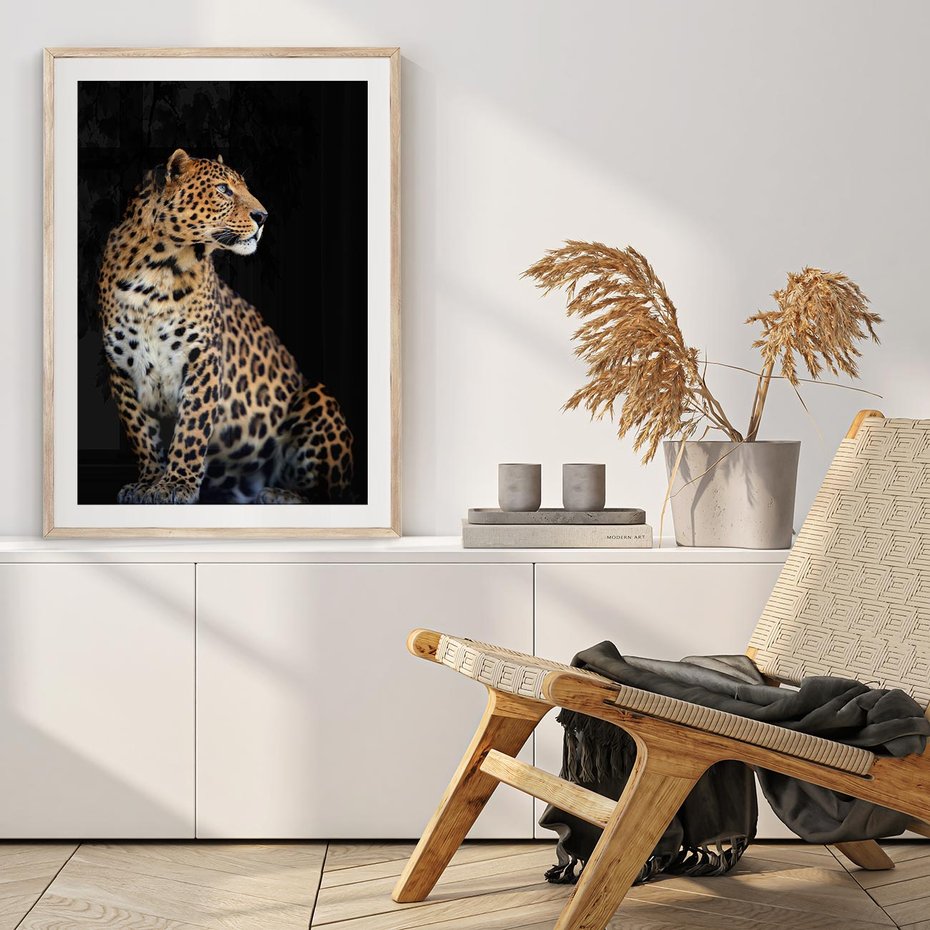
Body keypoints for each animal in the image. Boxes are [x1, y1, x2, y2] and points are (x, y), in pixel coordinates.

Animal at [97, 148, 354, 505]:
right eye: (223, 189)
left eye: (243, 187)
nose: (263, 216)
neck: (157, 269)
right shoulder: (120, 367)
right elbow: (141, 433)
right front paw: (148, 483)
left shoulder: (202, 357)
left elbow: (191, 428)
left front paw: (175, 485)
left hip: (317, 395)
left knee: (332, 492)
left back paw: (281, 494)